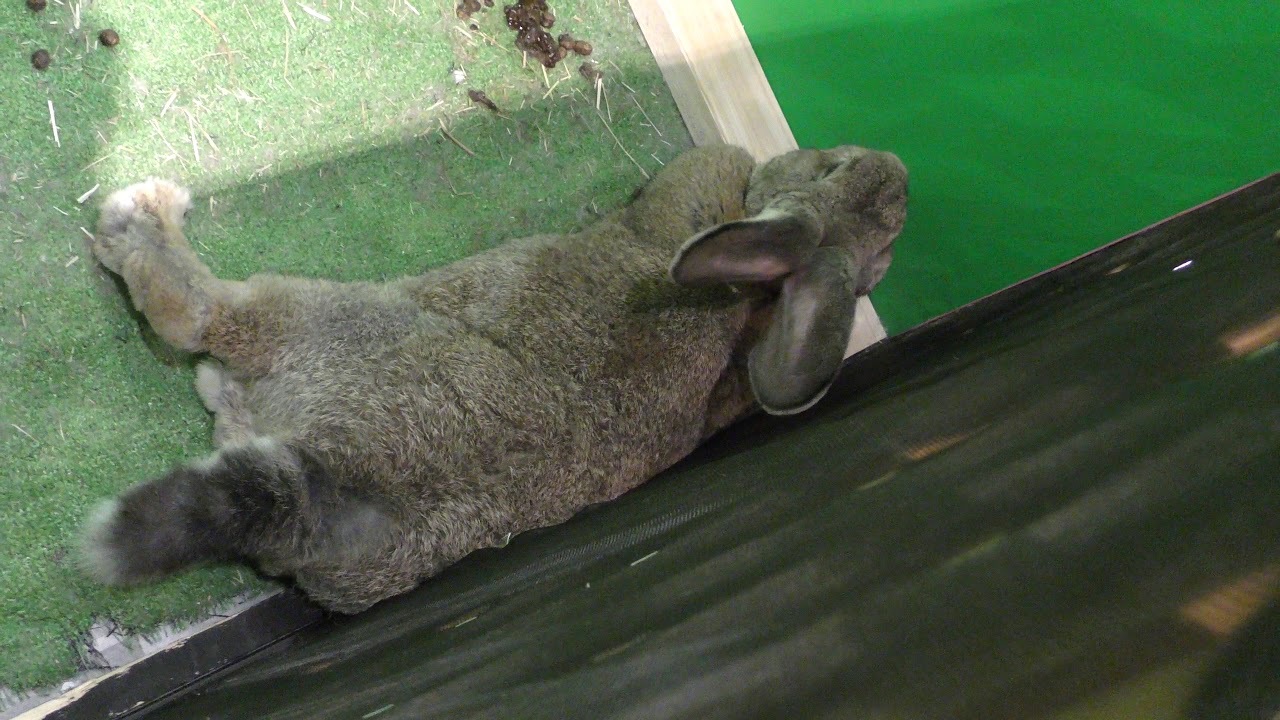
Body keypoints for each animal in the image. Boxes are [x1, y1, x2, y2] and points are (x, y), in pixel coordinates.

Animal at [80, 143, 908, 613]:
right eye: (839, 169)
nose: (894, 167)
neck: (757, 299)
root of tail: (336, 479)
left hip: (308, 309)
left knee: (196, 316)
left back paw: (141, 213)